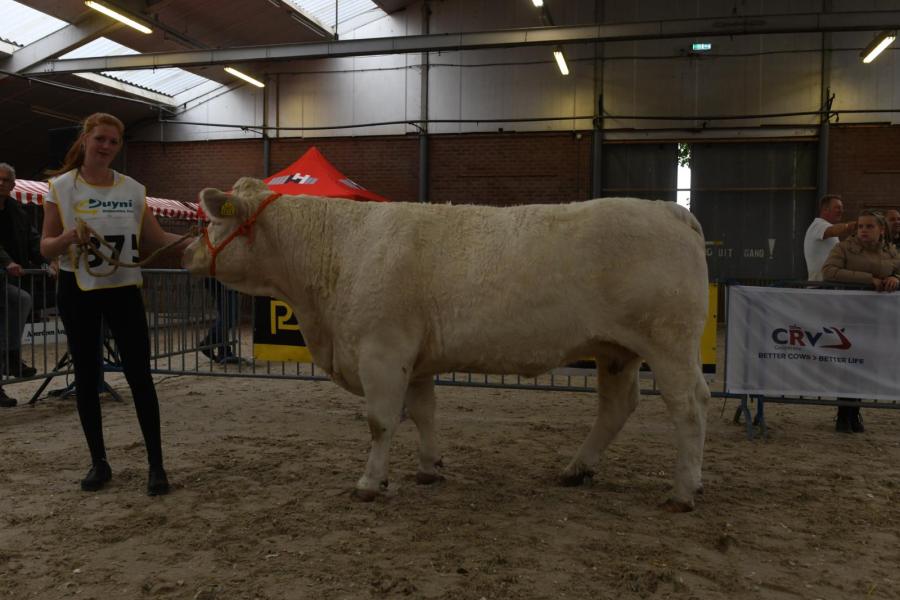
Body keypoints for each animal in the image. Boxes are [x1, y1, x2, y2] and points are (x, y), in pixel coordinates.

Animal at [182, 177, 711, 511]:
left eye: (211, 221)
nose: (186, 254)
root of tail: (669, 209)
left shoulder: (381, 350)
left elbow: (380, 421)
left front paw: (370, 482)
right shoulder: (413, 359)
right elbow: (423, 413)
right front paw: (429, 468)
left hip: (669, 342)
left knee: (688, 407)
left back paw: (683, 491)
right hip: (616, 351)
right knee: (618, 406)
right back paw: (577, 469)